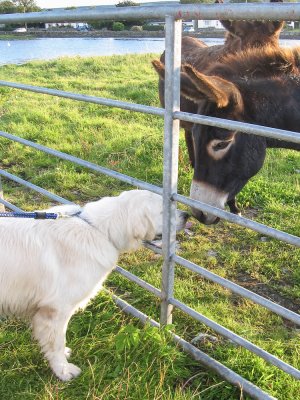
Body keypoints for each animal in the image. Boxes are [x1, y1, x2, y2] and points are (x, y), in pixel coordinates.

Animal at [0, 190, 188, 382]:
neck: (99, 230)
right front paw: (63, 370)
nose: (187, 215)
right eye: (163, 211)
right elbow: (57, 343)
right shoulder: (55, 310)